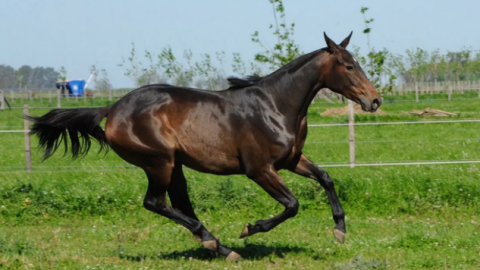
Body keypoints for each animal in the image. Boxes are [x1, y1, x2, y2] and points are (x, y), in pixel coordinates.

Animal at [26, 32, 380, 262]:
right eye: (349, 66)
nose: (374, 100)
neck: (276, 105)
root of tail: (111, 109)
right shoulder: (260, 170)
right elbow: (292, 205)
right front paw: (250, 228)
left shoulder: (291, 160)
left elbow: (326, 179)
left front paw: (340, 230)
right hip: (159, 162)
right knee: (155, 202)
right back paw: (219, 245)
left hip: (175, 165)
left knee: (179, 204)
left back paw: (217, 246)